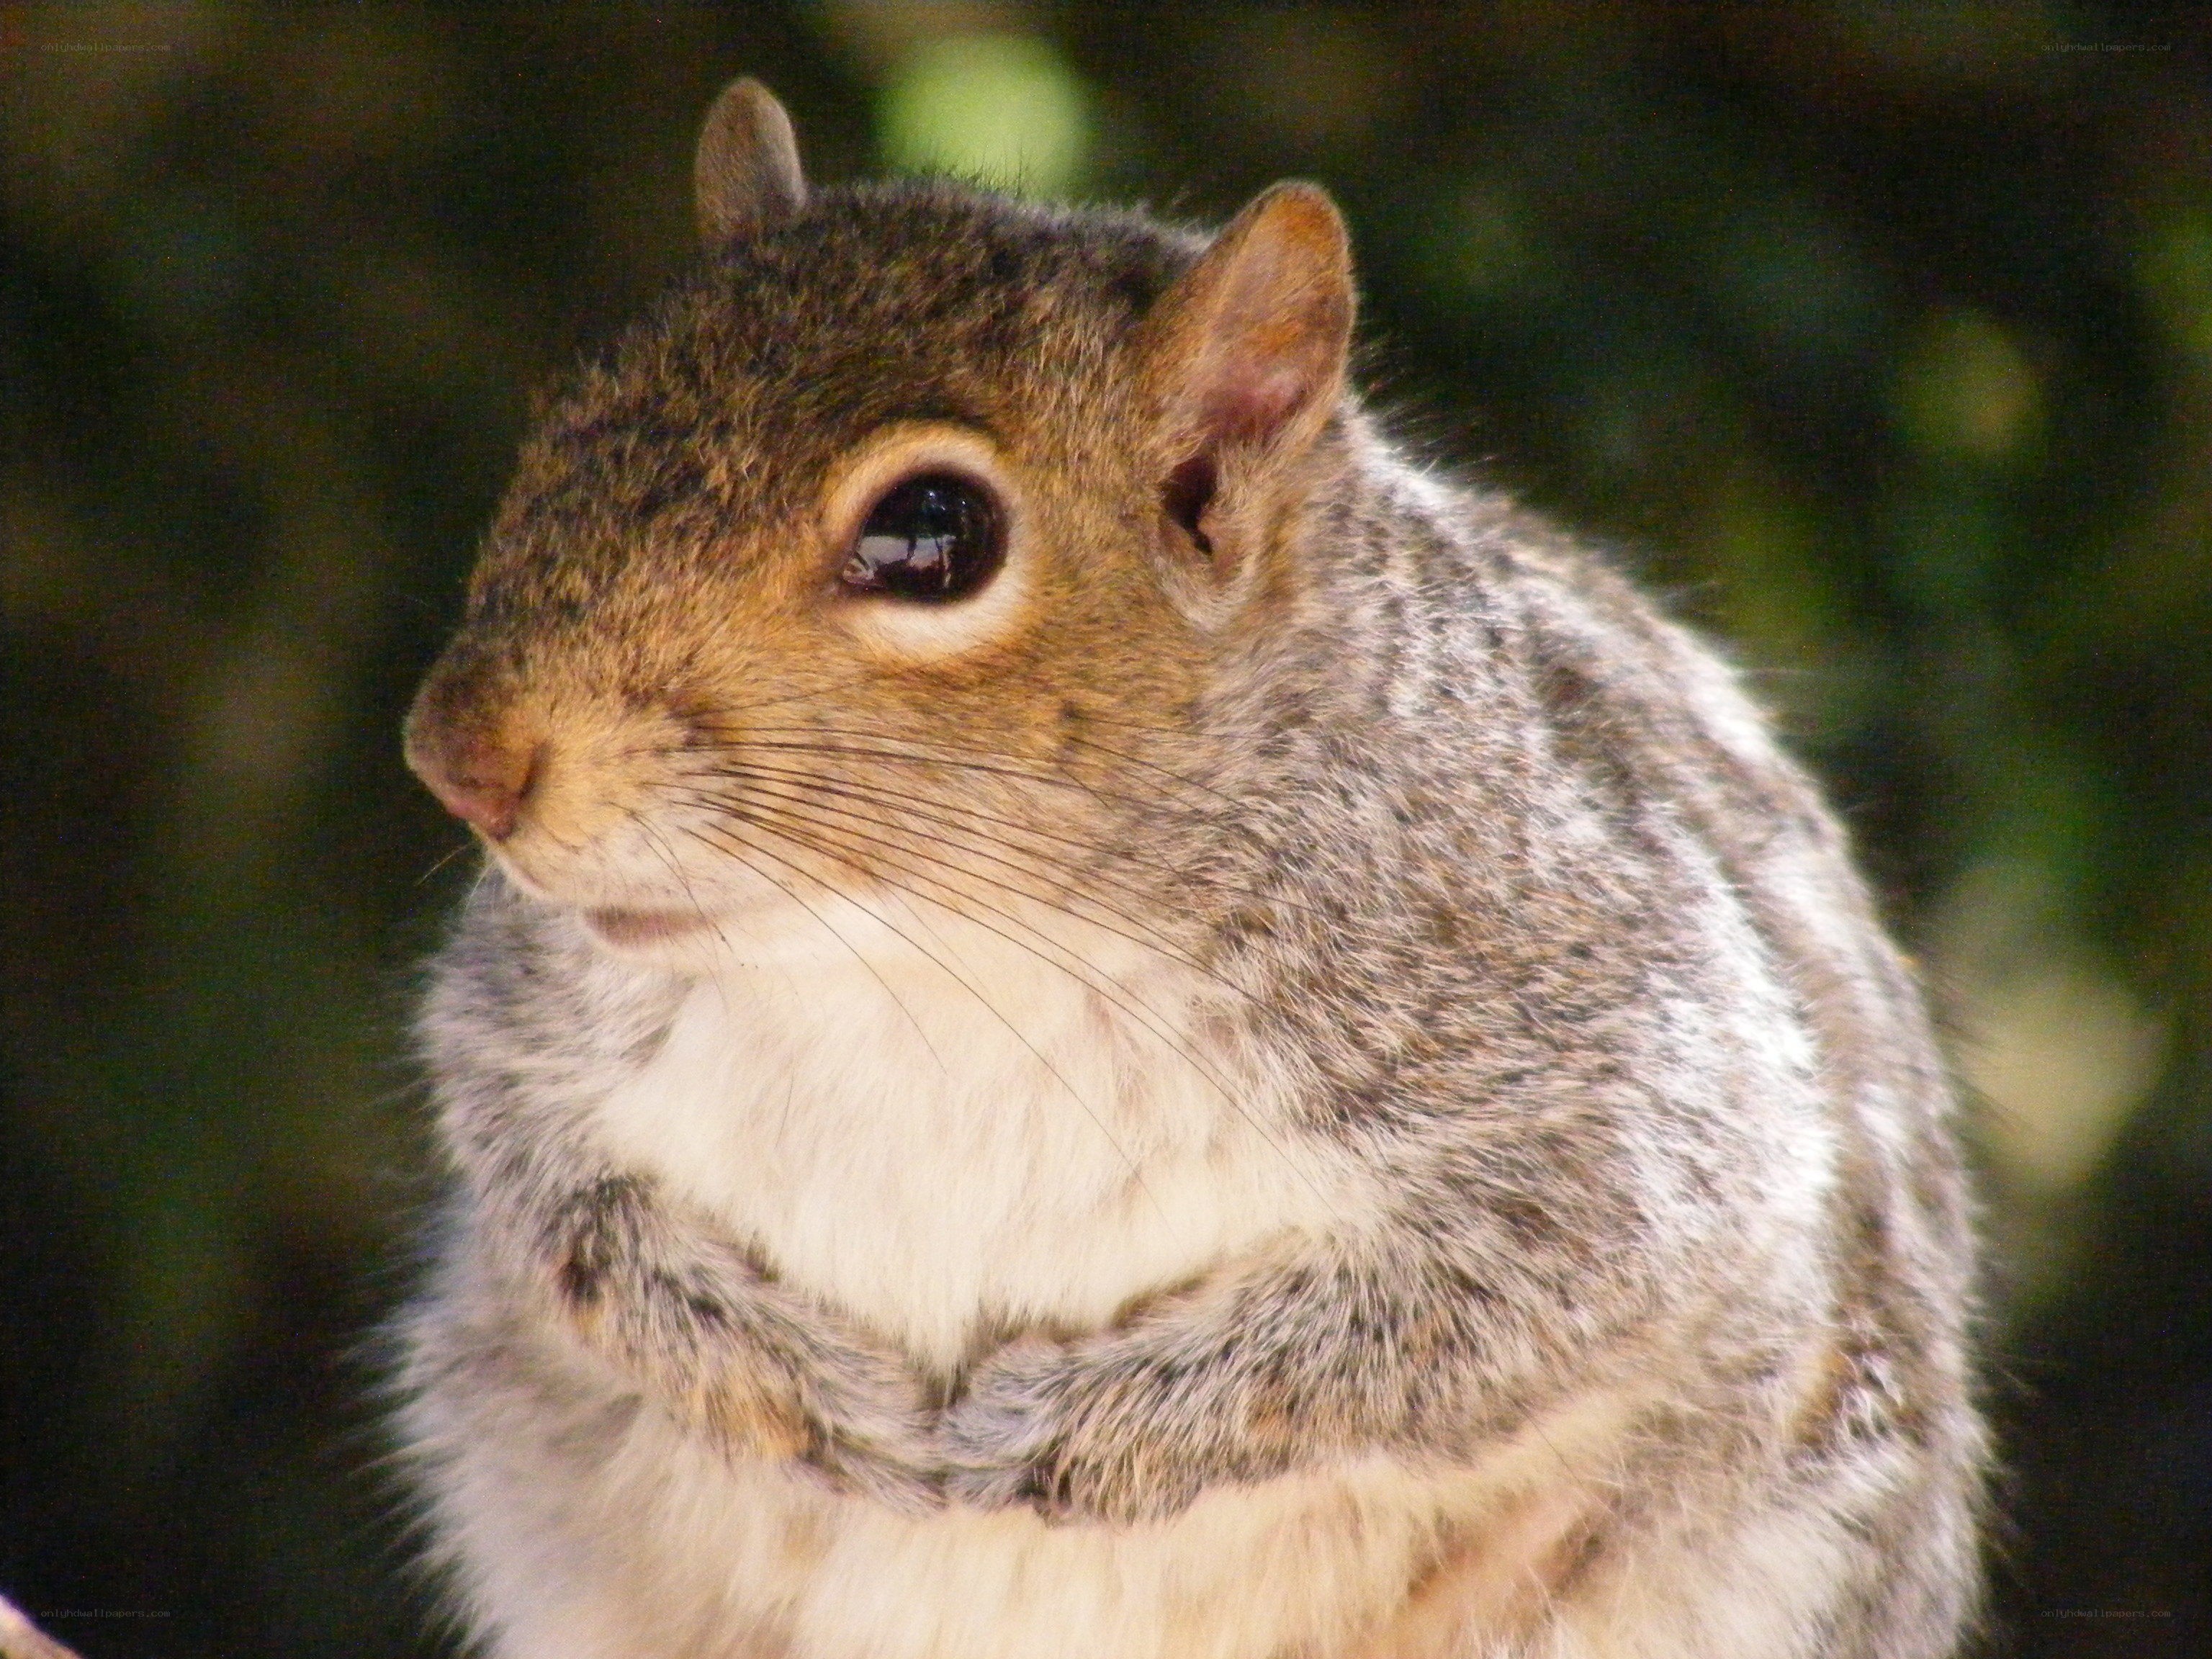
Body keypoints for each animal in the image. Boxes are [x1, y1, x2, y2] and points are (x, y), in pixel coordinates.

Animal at [394, 77, 1985, 1659]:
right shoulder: (530, 1014)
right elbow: (546, 1185)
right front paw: (784, 1377)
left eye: (930, 534)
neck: (935, 949)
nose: (460, 758)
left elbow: (1504, 1296)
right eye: (570, 414)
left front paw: (1072, 1426)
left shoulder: (1614, 1060)